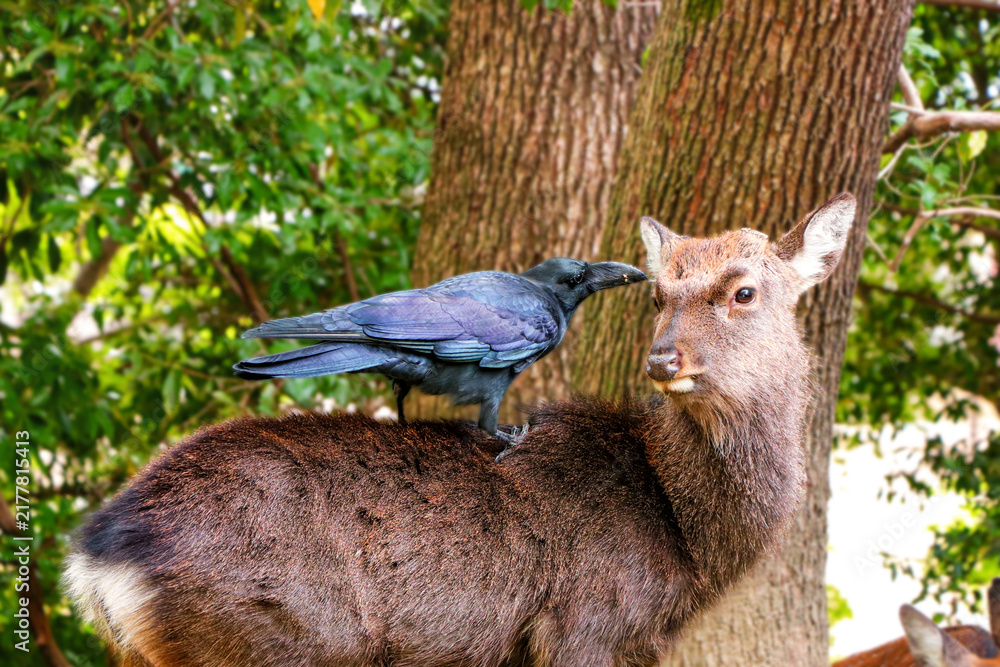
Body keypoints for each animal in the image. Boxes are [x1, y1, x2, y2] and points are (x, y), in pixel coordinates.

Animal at [64, 192, 856, 667]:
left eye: (744, 290)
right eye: (661, 295)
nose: (664, 359)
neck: (690, 547)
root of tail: (97, 557)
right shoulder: (585, 628)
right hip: (281, 641)